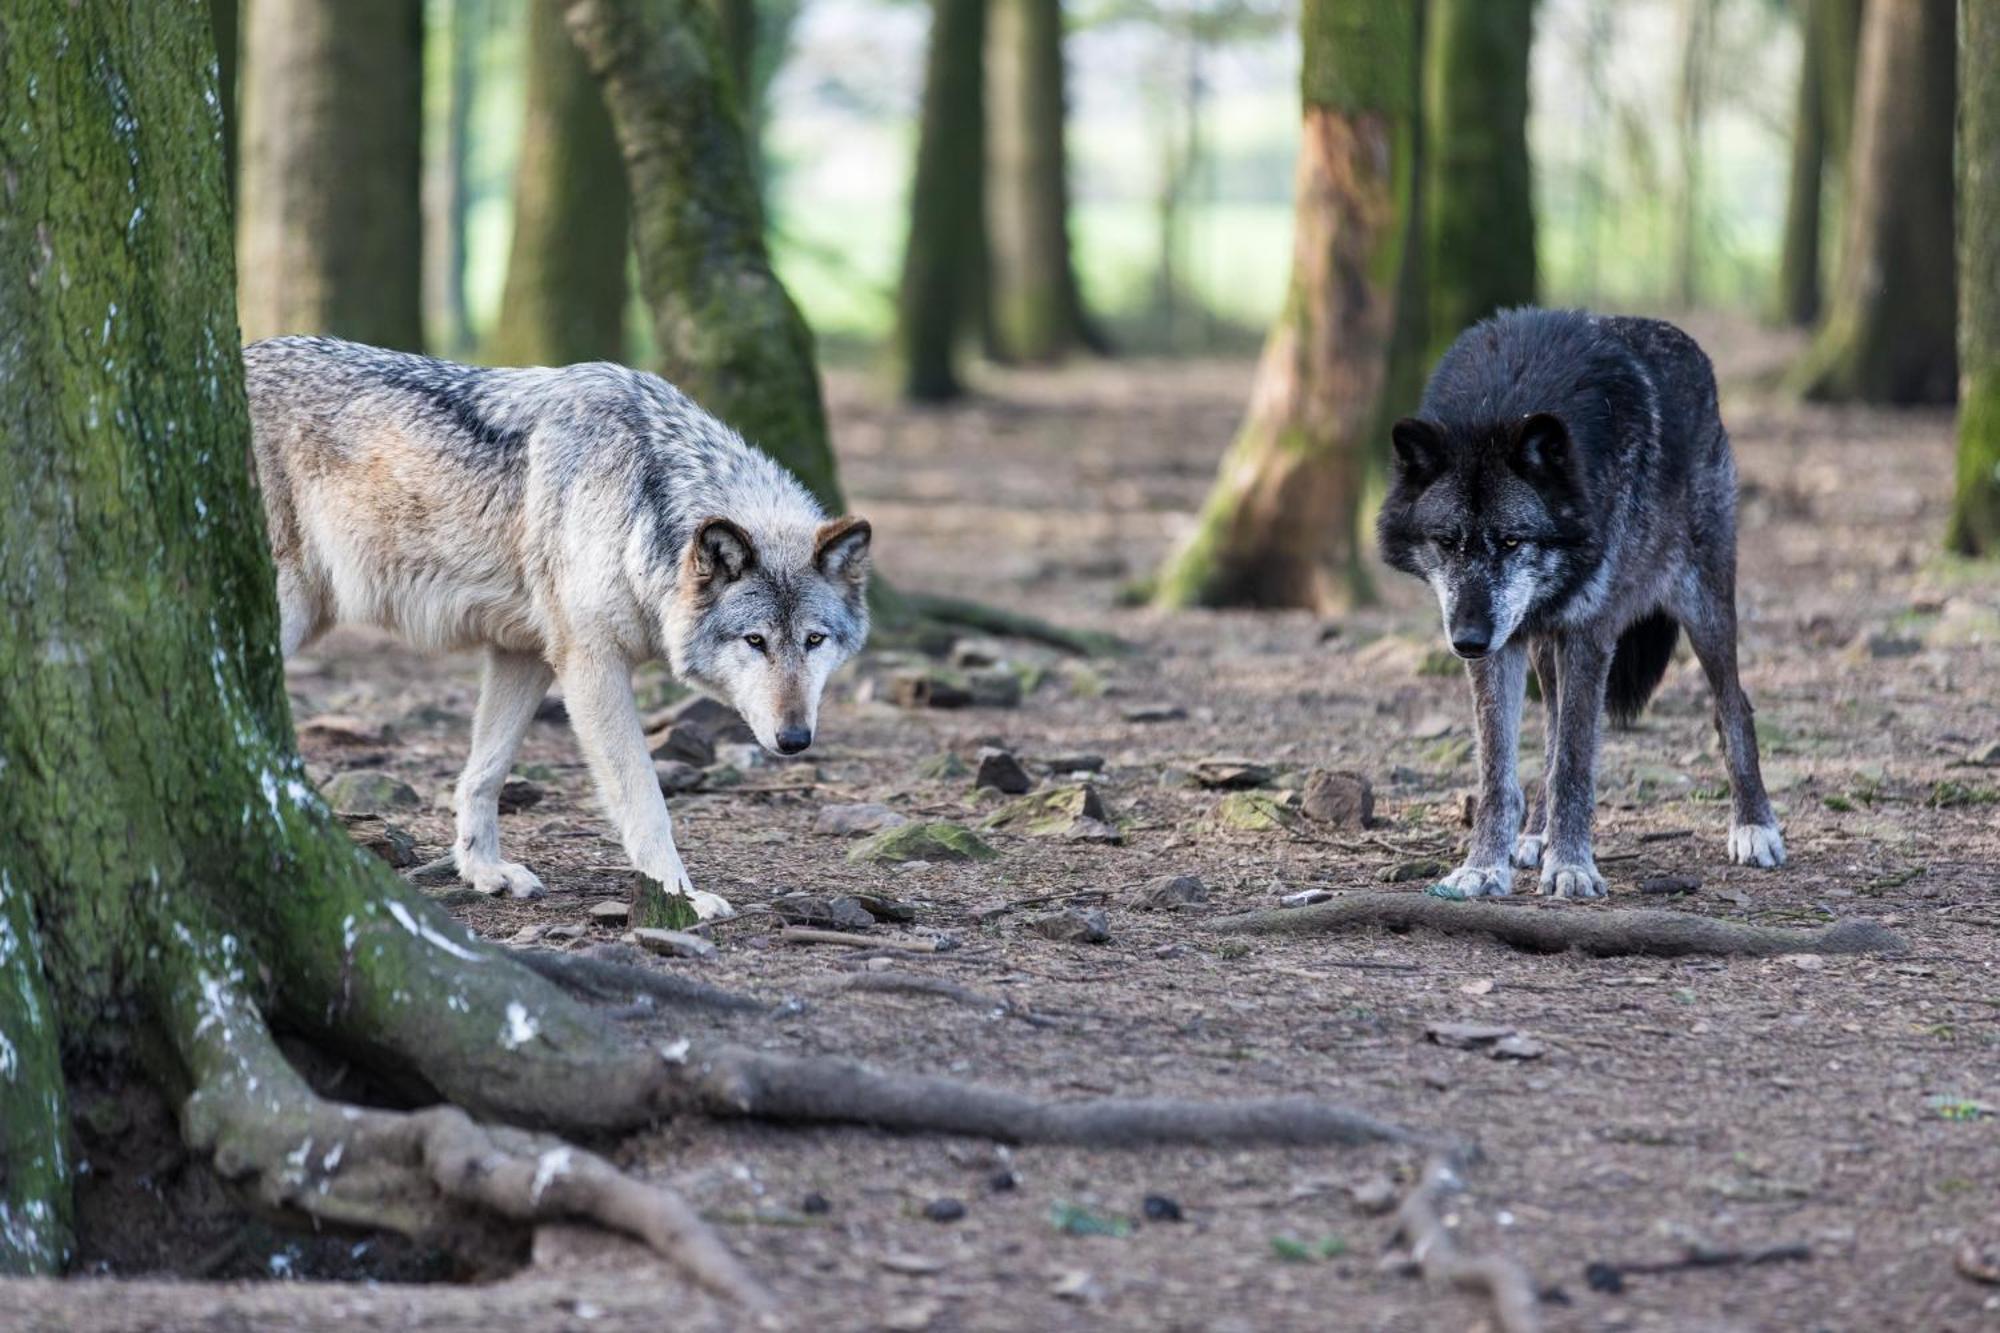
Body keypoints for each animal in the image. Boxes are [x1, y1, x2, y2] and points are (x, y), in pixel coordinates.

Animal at [242, 332, 868, 912]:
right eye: (755, 641)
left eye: (814, 641)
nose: (795, 739)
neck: (642, 500)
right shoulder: (590, 663)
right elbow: (645, 800)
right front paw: (681, 899)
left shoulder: (523, 651)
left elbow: (485, 772)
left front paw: (483, 870)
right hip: (289, 608)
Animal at [1376, 306, 1784, 896]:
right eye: (1447, 542)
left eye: (1511, 541)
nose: (1467, 641)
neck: (1504, 404)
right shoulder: (1502, 647)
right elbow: (1500, 773)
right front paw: (1484, 867)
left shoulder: (1590, 634)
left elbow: (1573, 763)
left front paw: (1570, 866)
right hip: (1540, 645)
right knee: (1548, 732)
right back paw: (1534, 836)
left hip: (1704, 607)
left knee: (1734, 709)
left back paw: (1755, 827)